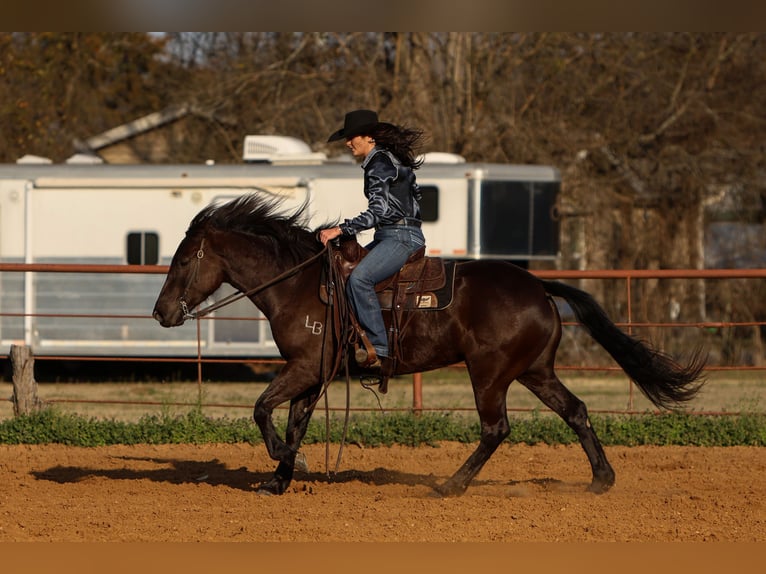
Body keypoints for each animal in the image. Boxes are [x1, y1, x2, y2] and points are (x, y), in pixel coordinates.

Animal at [152, 195, 708, 500]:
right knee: (575, 410)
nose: (160, 313)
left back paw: (451, 485)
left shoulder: (305, 367)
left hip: (489, 374)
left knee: (496, 429)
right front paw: (281, 477)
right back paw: (601, 479)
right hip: (534, 371)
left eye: (182, 259)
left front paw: (287, 462)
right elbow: (292, 421)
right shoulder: (313, 373)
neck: (302, 283)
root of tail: (538, 286)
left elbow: (263, 410)